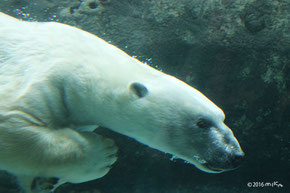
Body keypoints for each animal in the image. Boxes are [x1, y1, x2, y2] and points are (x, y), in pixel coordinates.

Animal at [0, 12, 245, 192]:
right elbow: (12, 122)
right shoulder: (41, 76)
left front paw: (44, 181)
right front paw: (103, 155)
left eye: (222, 118)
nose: (235, 156)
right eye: (201, 122)